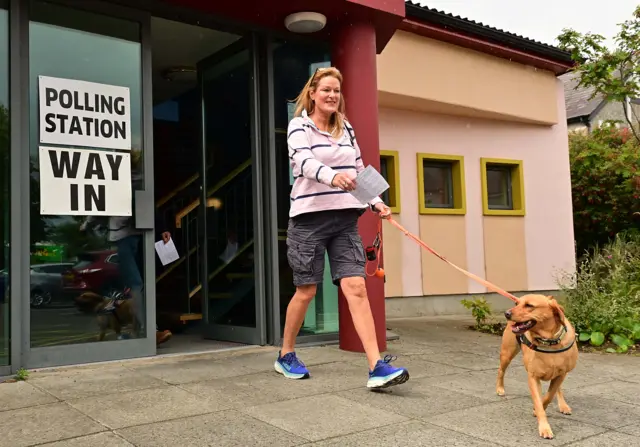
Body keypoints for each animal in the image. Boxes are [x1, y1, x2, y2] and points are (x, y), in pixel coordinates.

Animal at [496, 294, 580, 440]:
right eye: (517, 303)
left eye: (529, 305)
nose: (506, 313)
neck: (549, 342)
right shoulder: (533, 377)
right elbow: (540, 402)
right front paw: (544, 428)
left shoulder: (561, 374)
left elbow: (549, 396)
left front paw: (539, 409)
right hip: (507, 353)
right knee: (501, 370)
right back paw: (500, 388)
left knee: (558, 389)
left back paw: (563, 405)